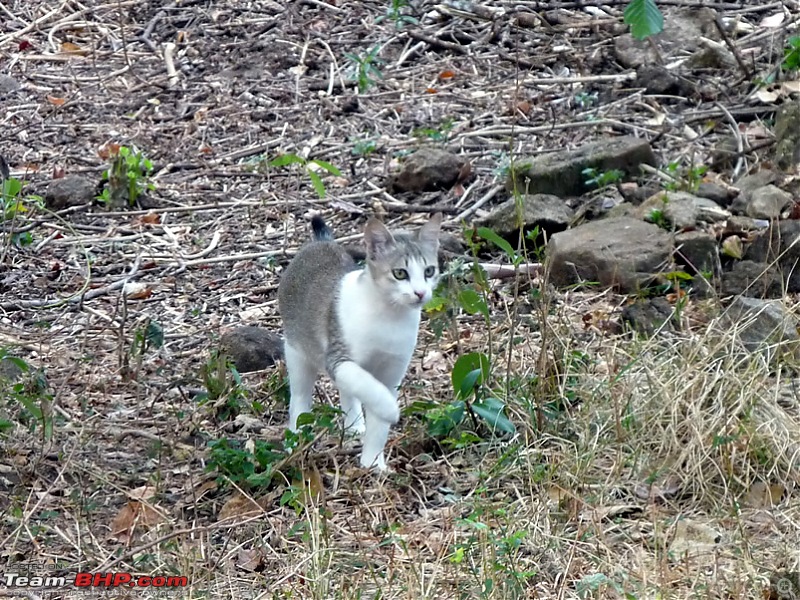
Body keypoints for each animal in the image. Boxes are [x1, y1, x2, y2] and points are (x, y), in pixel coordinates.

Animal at [278, 213, 444, 472]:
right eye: (400, 273)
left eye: (429, 271)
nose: (420, 293)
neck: (391, 318)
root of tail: (319, 243)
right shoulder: (338, 360)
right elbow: (369, 388)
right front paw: (390, 410)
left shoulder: (392, 372)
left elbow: (377, 421)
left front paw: (373, 463)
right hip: (297, 352)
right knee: (300, 399)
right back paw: (294, 440)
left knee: (347, 394)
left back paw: (355, 426)